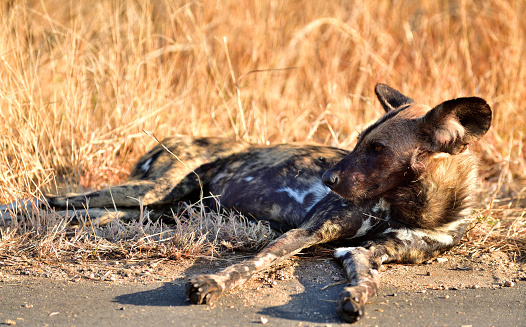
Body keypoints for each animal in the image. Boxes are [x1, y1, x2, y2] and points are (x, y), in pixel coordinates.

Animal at [0, 84, 496, 322]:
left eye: (376, 149)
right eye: (358, 142)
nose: (328, 179)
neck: (419, 206)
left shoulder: (365, 253)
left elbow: (367, 281)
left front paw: (355, 300)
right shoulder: (307, 232)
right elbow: (250, 265)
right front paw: (211, 285)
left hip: (154, 209)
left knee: (85, 214)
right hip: (147, 193)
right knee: (49, 199)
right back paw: (14, 212)